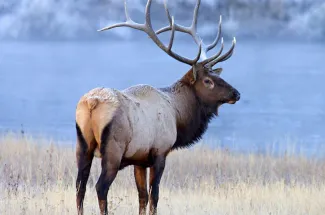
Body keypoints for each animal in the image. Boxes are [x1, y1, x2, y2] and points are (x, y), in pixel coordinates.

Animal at [74, 0, 239, 215]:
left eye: (216, 76)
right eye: (208, 81)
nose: (236, 93)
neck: (178, 116)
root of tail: (92, 103)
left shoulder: (139, 160)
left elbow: (142, 197)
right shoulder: (160, 152)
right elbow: (155, 196)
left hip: (82, 145)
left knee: (80, 187)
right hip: (113, 149)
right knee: (100, 187)